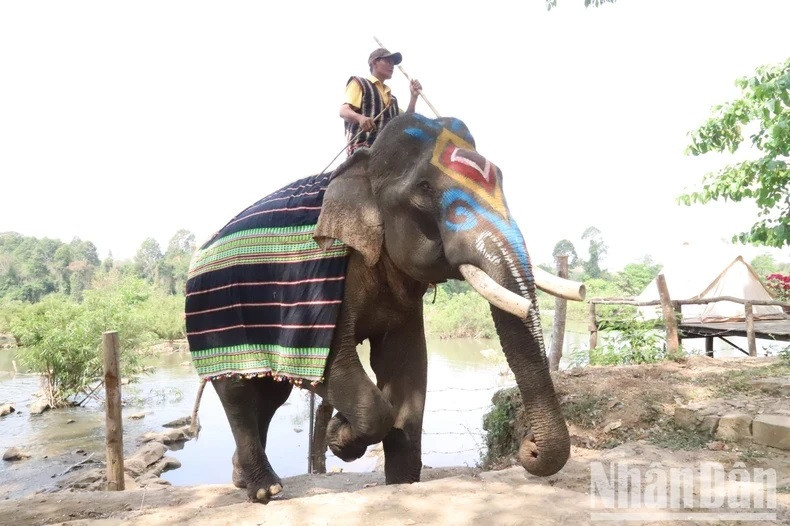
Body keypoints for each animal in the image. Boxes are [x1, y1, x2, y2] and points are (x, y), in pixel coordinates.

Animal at [185, 112, 585, 503]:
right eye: (424, 189)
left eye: (501, 178)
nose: (529, 445)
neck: (364, 167)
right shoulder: (319, 285)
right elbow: (337, 366)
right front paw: (341, 435)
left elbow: (406, 365)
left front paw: (401, 482)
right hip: (216, 316)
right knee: (239, 392)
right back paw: (265, 490)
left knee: (269, 395)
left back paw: (241, 478)